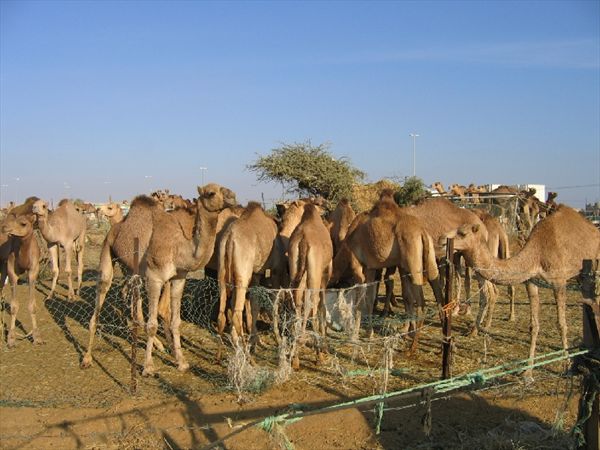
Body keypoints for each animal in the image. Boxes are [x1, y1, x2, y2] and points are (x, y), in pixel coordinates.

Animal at [1, 212, 41, 348]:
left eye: (23, 223)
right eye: (13, 220)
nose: (4, 227)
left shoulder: (34, 271)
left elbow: (32, 305)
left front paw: (36, 337)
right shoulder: (11, 271)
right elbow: (14, 306)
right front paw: (11, 339)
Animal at [82, 183, 237, 376]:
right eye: (211, 193)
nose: (233, 197)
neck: (179, 247)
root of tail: (114, 228)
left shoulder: (179, 277)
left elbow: (176, 321)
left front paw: (181, 362)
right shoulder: (155, 278)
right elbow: (152, 325)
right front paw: (148, 367)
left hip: (130, 268)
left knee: (131, 298)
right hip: (107, 252)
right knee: (101, 294)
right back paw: (87, 358)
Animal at [218, 201, 288, 356]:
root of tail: (229, 238)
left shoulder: (256, 274)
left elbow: (255, 305)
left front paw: (256, 342)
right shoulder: (275, 272)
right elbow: (272, 305)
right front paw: (278, 340)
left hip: (224, 273)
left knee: (224, 311)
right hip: (243, 275)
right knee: (237, 312)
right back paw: (246, 352)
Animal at [290, 202, 336, 368]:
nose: (327, 210)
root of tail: (303, 241)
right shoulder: (325, 274)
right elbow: (322, 306)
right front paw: (325, 348)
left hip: (296, 271)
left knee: (298, 304)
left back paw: (295, 357)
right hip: (314, 275)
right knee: (313, 305)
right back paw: (317, 355)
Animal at [442, 206, 600, 378]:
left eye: (462, 233)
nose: (442, 240)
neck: (537, 254)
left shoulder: (559, 282)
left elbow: (561, 324)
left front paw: (567, 365)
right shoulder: (531, 283)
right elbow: (534, 326)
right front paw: (528, 371)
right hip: (581, 275)